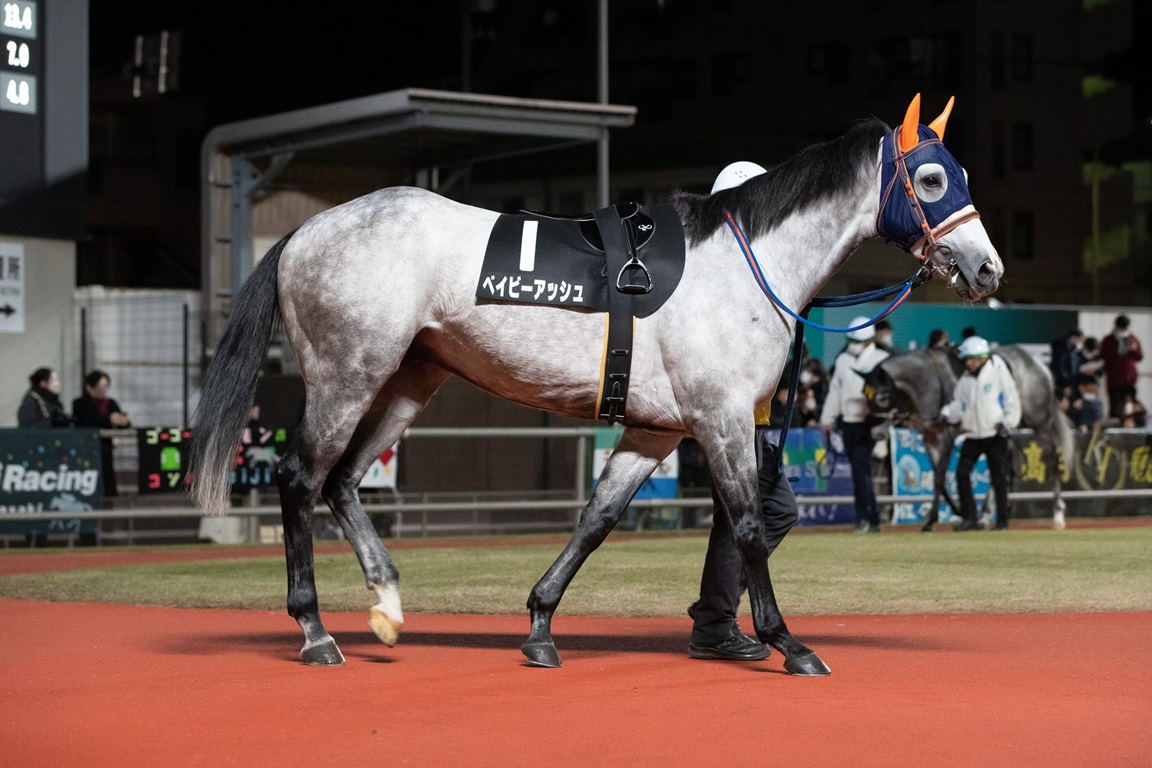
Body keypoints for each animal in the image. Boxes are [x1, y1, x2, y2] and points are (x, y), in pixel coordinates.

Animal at [190, 94, 1002, 675]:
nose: (987, 268)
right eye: (932, 178)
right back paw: (315, 630)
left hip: (410, 377)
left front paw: (541, 625)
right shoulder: (722, 418)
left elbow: (596, 521)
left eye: (961, 175)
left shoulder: (655, 430)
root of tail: (304, 232)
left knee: (344, 481)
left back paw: (387, 602)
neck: (743, 264)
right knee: (301, 477)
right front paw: (787, 643)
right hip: (349, 372)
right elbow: (745, 527)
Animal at [862, 345, 1075, 530]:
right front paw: (958, 512)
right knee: (1001, 470)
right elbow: (940, 479)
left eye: (882, 398)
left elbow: (939, 477)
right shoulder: (930, 438)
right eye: (865, 397)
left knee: (1052, 461)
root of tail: (1038, 365)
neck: (929, 381)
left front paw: (932, 520)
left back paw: (1058, 515)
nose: (875, 433)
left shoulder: (947, 436)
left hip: (1039, 424)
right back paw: (986, 515)